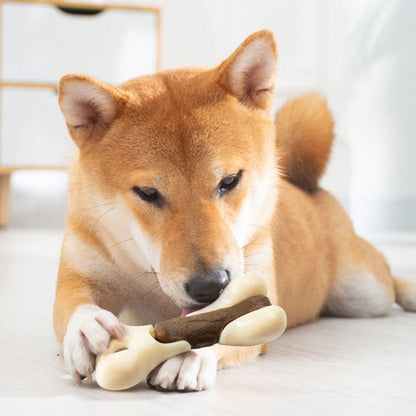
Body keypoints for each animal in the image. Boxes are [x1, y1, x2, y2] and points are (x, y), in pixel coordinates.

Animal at [53, 29, 414, 390]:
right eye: (148, 193)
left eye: (229, 180)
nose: (209, 286)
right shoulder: (81, 273)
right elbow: (73, 304)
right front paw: (88, 328)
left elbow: (227, 326)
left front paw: (189, 354)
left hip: (365, 291)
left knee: (388, 276)